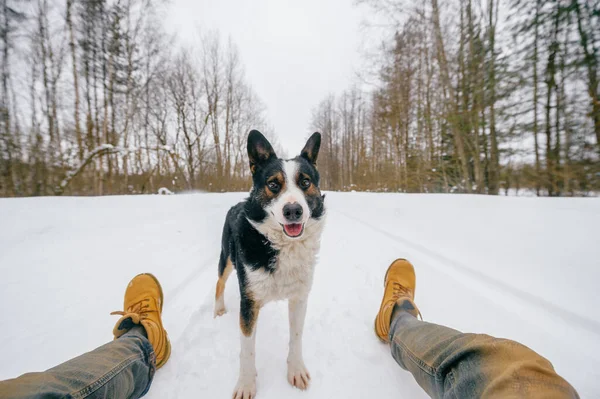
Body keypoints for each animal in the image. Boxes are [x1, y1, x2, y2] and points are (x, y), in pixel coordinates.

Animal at [213, 130, 326, 399]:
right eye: (274, 184)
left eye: (305, 182)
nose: (293, 210)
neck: (281, 245)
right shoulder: (249, 302)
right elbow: (247, 349)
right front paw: (246, 384)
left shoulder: (299, 298)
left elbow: (296, 337)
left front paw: (296, 370)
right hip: (227, 259)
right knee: (219, 283)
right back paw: (219, 309)